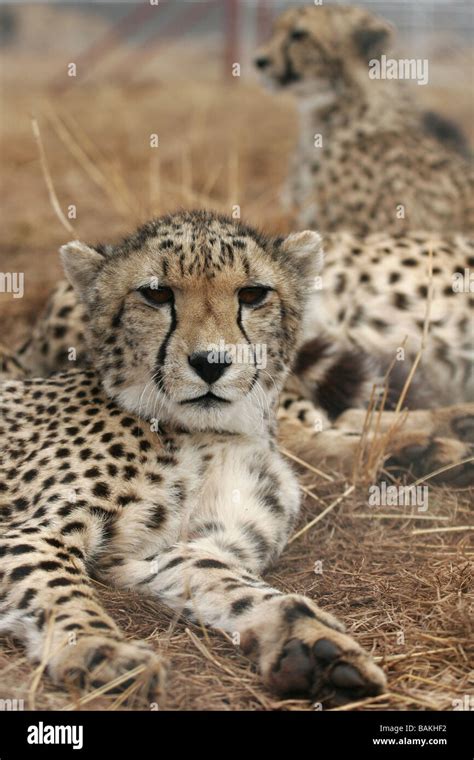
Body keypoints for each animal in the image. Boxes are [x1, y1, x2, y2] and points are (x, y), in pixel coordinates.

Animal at [0, 209, 388, 708]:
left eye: (253, 294)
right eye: (156, 294)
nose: (211, 362)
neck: (215, 429)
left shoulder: (163, 553)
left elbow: (228, 581)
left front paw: (313, 644)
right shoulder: (28, 532)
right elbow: (56, 589)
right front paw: (100, 650)